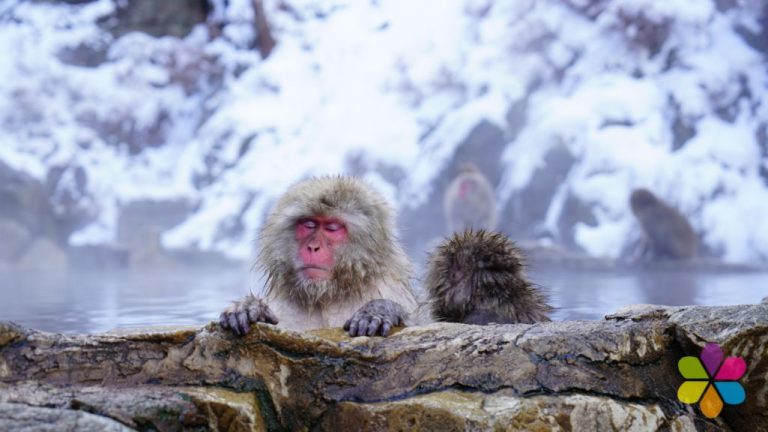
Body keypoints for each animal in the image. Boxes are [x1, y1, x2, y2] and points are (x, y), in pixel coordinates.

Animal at [219, 176, 418, 337]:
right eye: (309, 224)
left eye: (332, 228)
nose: (313, 247)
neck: (327, 296)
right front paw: (249, 307)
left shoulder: (389, 288)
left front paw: (379, 310)